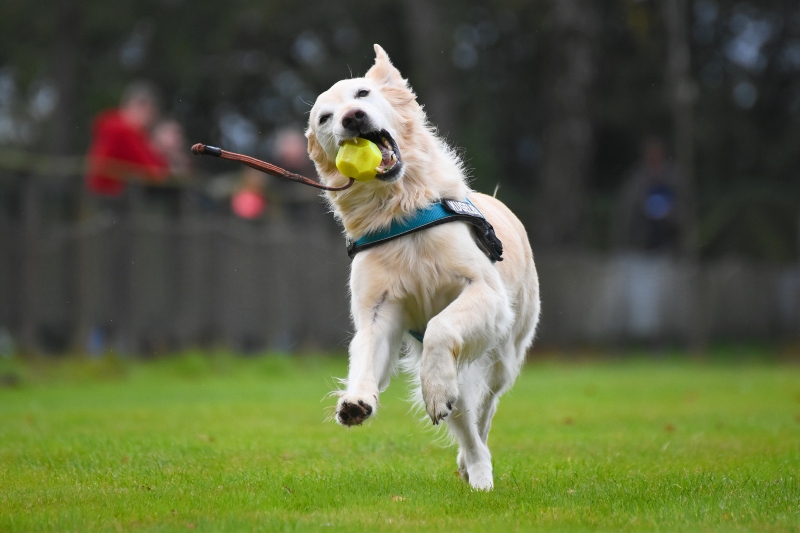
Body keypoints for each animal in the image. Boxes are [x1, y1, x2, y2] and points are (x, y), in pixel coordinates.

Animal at [304, 45, 540, 490]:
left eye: (362, 93)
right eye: (325, 117)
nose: (351, 118)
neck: (400, 210)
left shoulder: (485, 293)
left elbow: (440, 327)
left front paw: (433, 389)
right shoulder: (377, 313)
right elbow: (365, 355)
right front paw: (356, 400)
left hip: (504, 354)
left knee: (484, 411)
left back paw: (476, 467)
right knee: (466, 418)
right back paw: (473, 465)